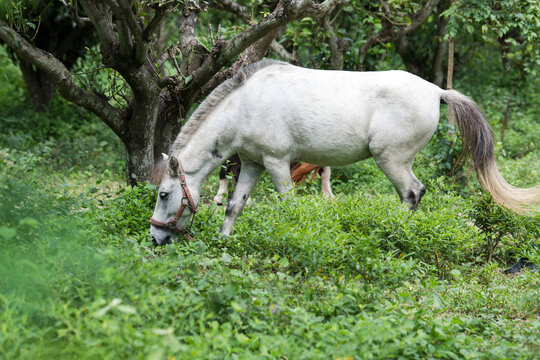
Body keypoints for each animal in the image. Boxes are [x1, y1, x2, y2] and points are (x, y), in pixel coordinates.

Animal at [150, 59, 540, 245]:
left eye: (164, 194)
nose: (156, 238)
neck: (245, 104)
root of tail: (436, 91)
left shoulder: (276, 163)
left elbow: (288, 205)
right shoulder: (251, 164)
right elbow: (234, 205)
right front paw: (224, 242)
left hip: (391, 160)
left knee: (412, 193)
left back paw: (396, 234)